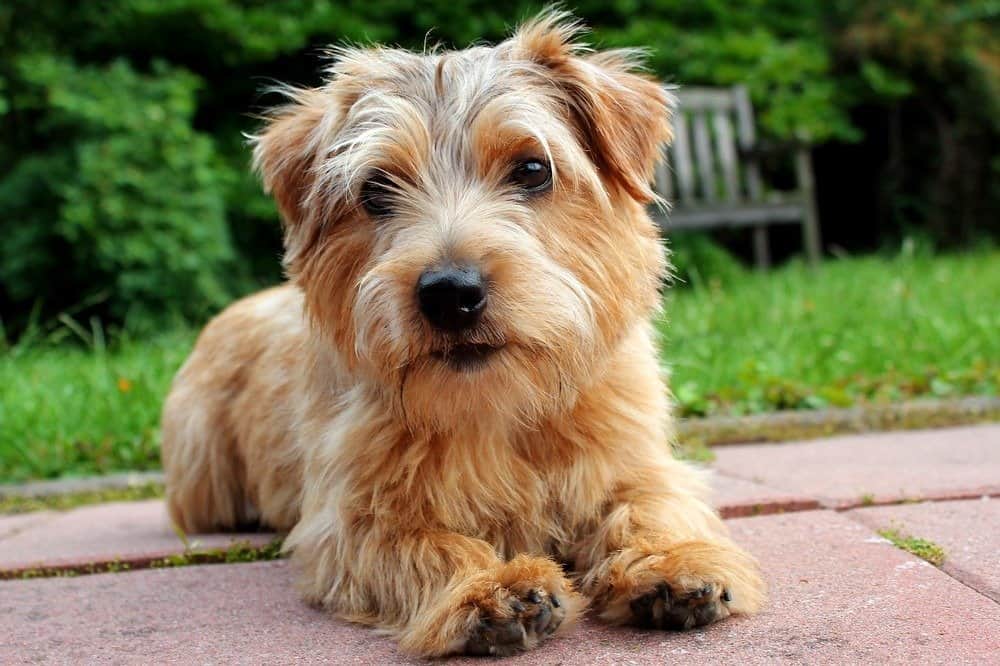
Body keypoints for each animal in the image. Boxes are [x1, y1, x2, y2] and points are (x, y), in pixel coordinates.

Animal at [160, 13, 760, 656]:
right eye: (375, 189)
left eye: (533, 169)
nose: (450, 292)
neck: (495, 406)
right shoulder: (350, 519)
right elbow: (425, 543)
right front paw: (487, 588)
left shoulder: (634, 462)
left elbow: (651, 505)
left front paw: (671, 561)